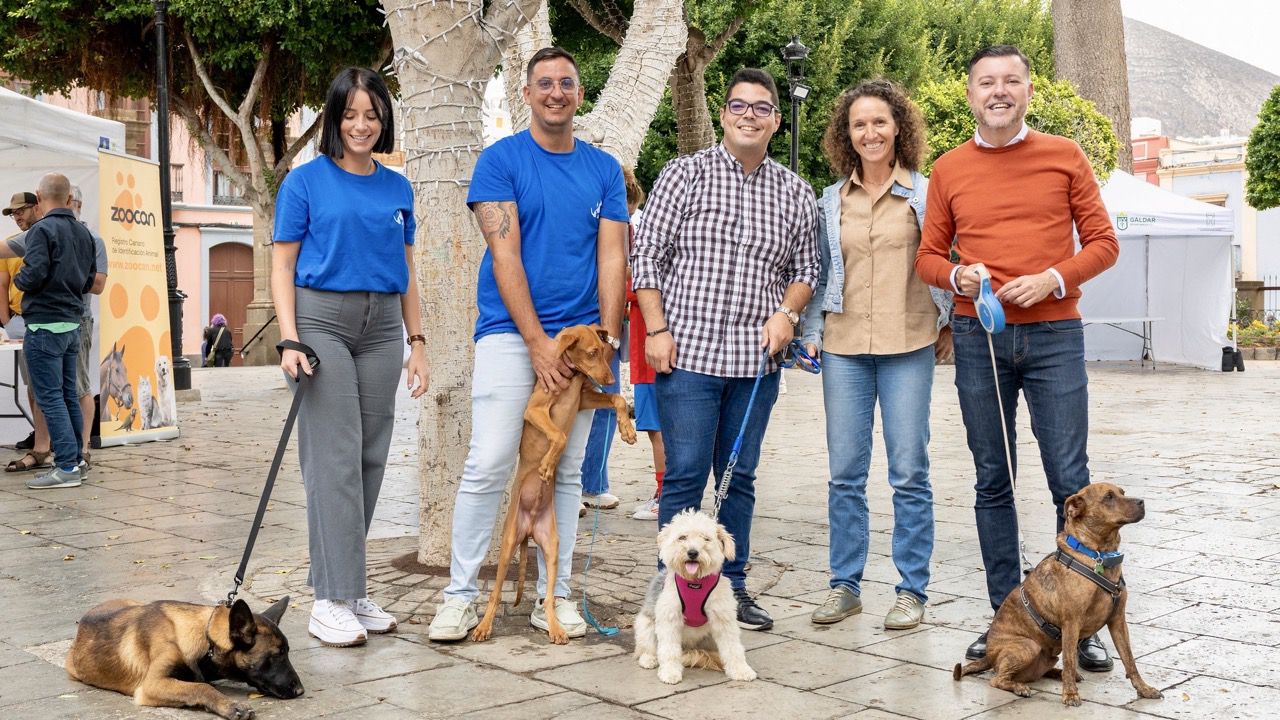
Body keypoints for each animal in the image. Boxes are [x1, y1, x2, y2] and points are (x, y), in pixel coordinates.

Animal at [66, 594, 302, 717]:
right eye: (277, 655)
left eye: (287, 653)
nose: (301, 691)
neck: (205, 637)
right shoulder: (152, 684)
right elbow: (201, 687)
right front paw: (230, 705)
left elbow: (198, 684)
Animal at [634, 507, 752, 681]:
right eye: (682, 537)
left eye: (706, 539)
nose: (692, 552)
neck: (695, 582)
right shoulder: (670, 618)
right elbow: (669, 649)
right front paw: (670, 672)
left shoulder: (723, 618)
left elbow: (733, 647)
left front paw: (740, 669)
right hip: (645, 624)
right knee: (647, 647)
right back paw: (649, 658)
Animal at [957, 479, 1167, 702]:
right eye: (1108, 497)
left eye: (1122, 493)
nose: (1141, 502)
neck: (1098, 556)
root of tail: (989, 656)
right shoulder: (1071, 623)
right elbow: (1069, 660)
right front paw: (1070, 694)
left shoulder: (1118, 620)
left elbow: (1129, 660)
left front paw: (1143, 689)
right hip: (1028, 646)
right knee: (997, 679)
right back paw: (1020, 687)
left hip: (1047, 656)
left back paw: (1057, 675)